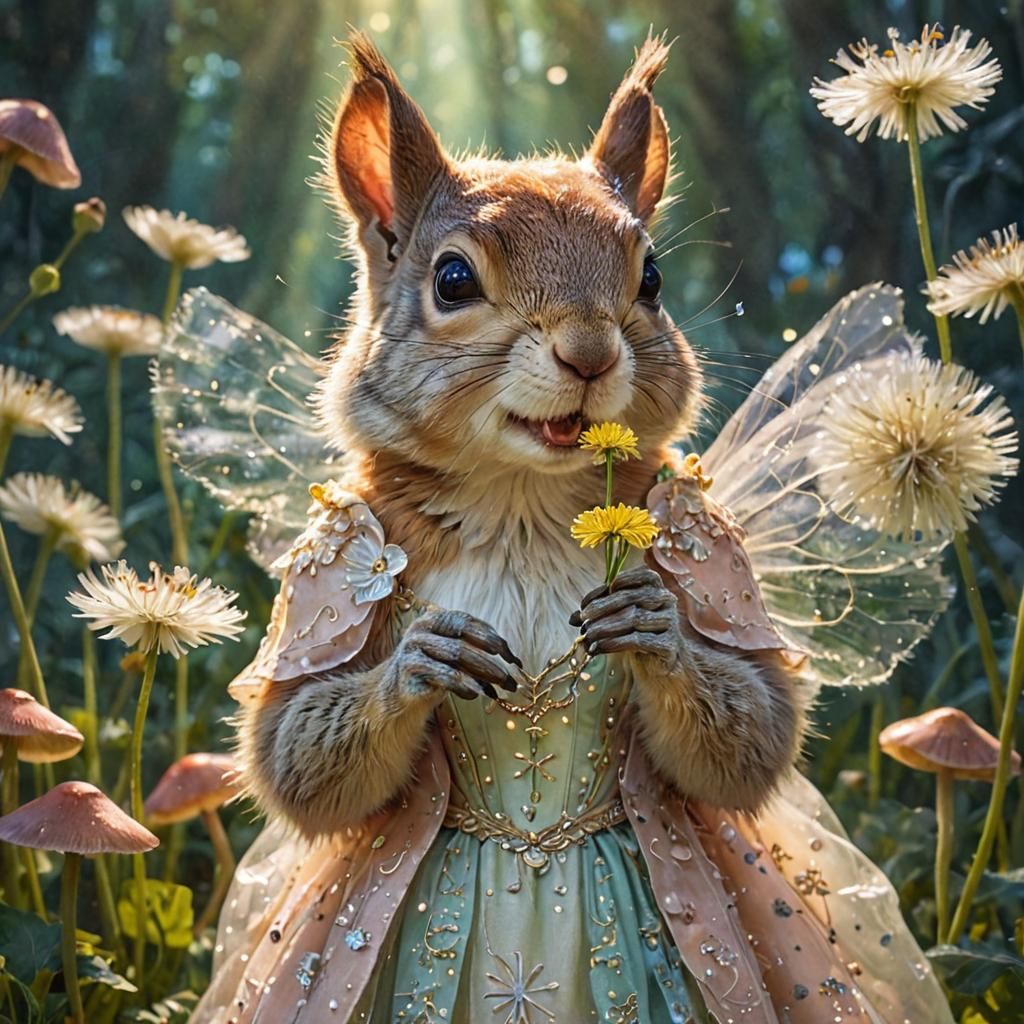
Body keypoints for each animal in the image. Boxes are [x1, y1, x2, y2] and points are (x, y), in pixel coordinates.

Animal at [235, 31, 803, 843]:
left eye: (653, 278)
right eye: (452, 280)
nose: (589, 354)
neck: (522, 498)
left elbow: (756, 733)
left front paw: (652, 626)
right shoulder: (329, 570)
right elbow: (292, 755)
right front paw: (422, 658)